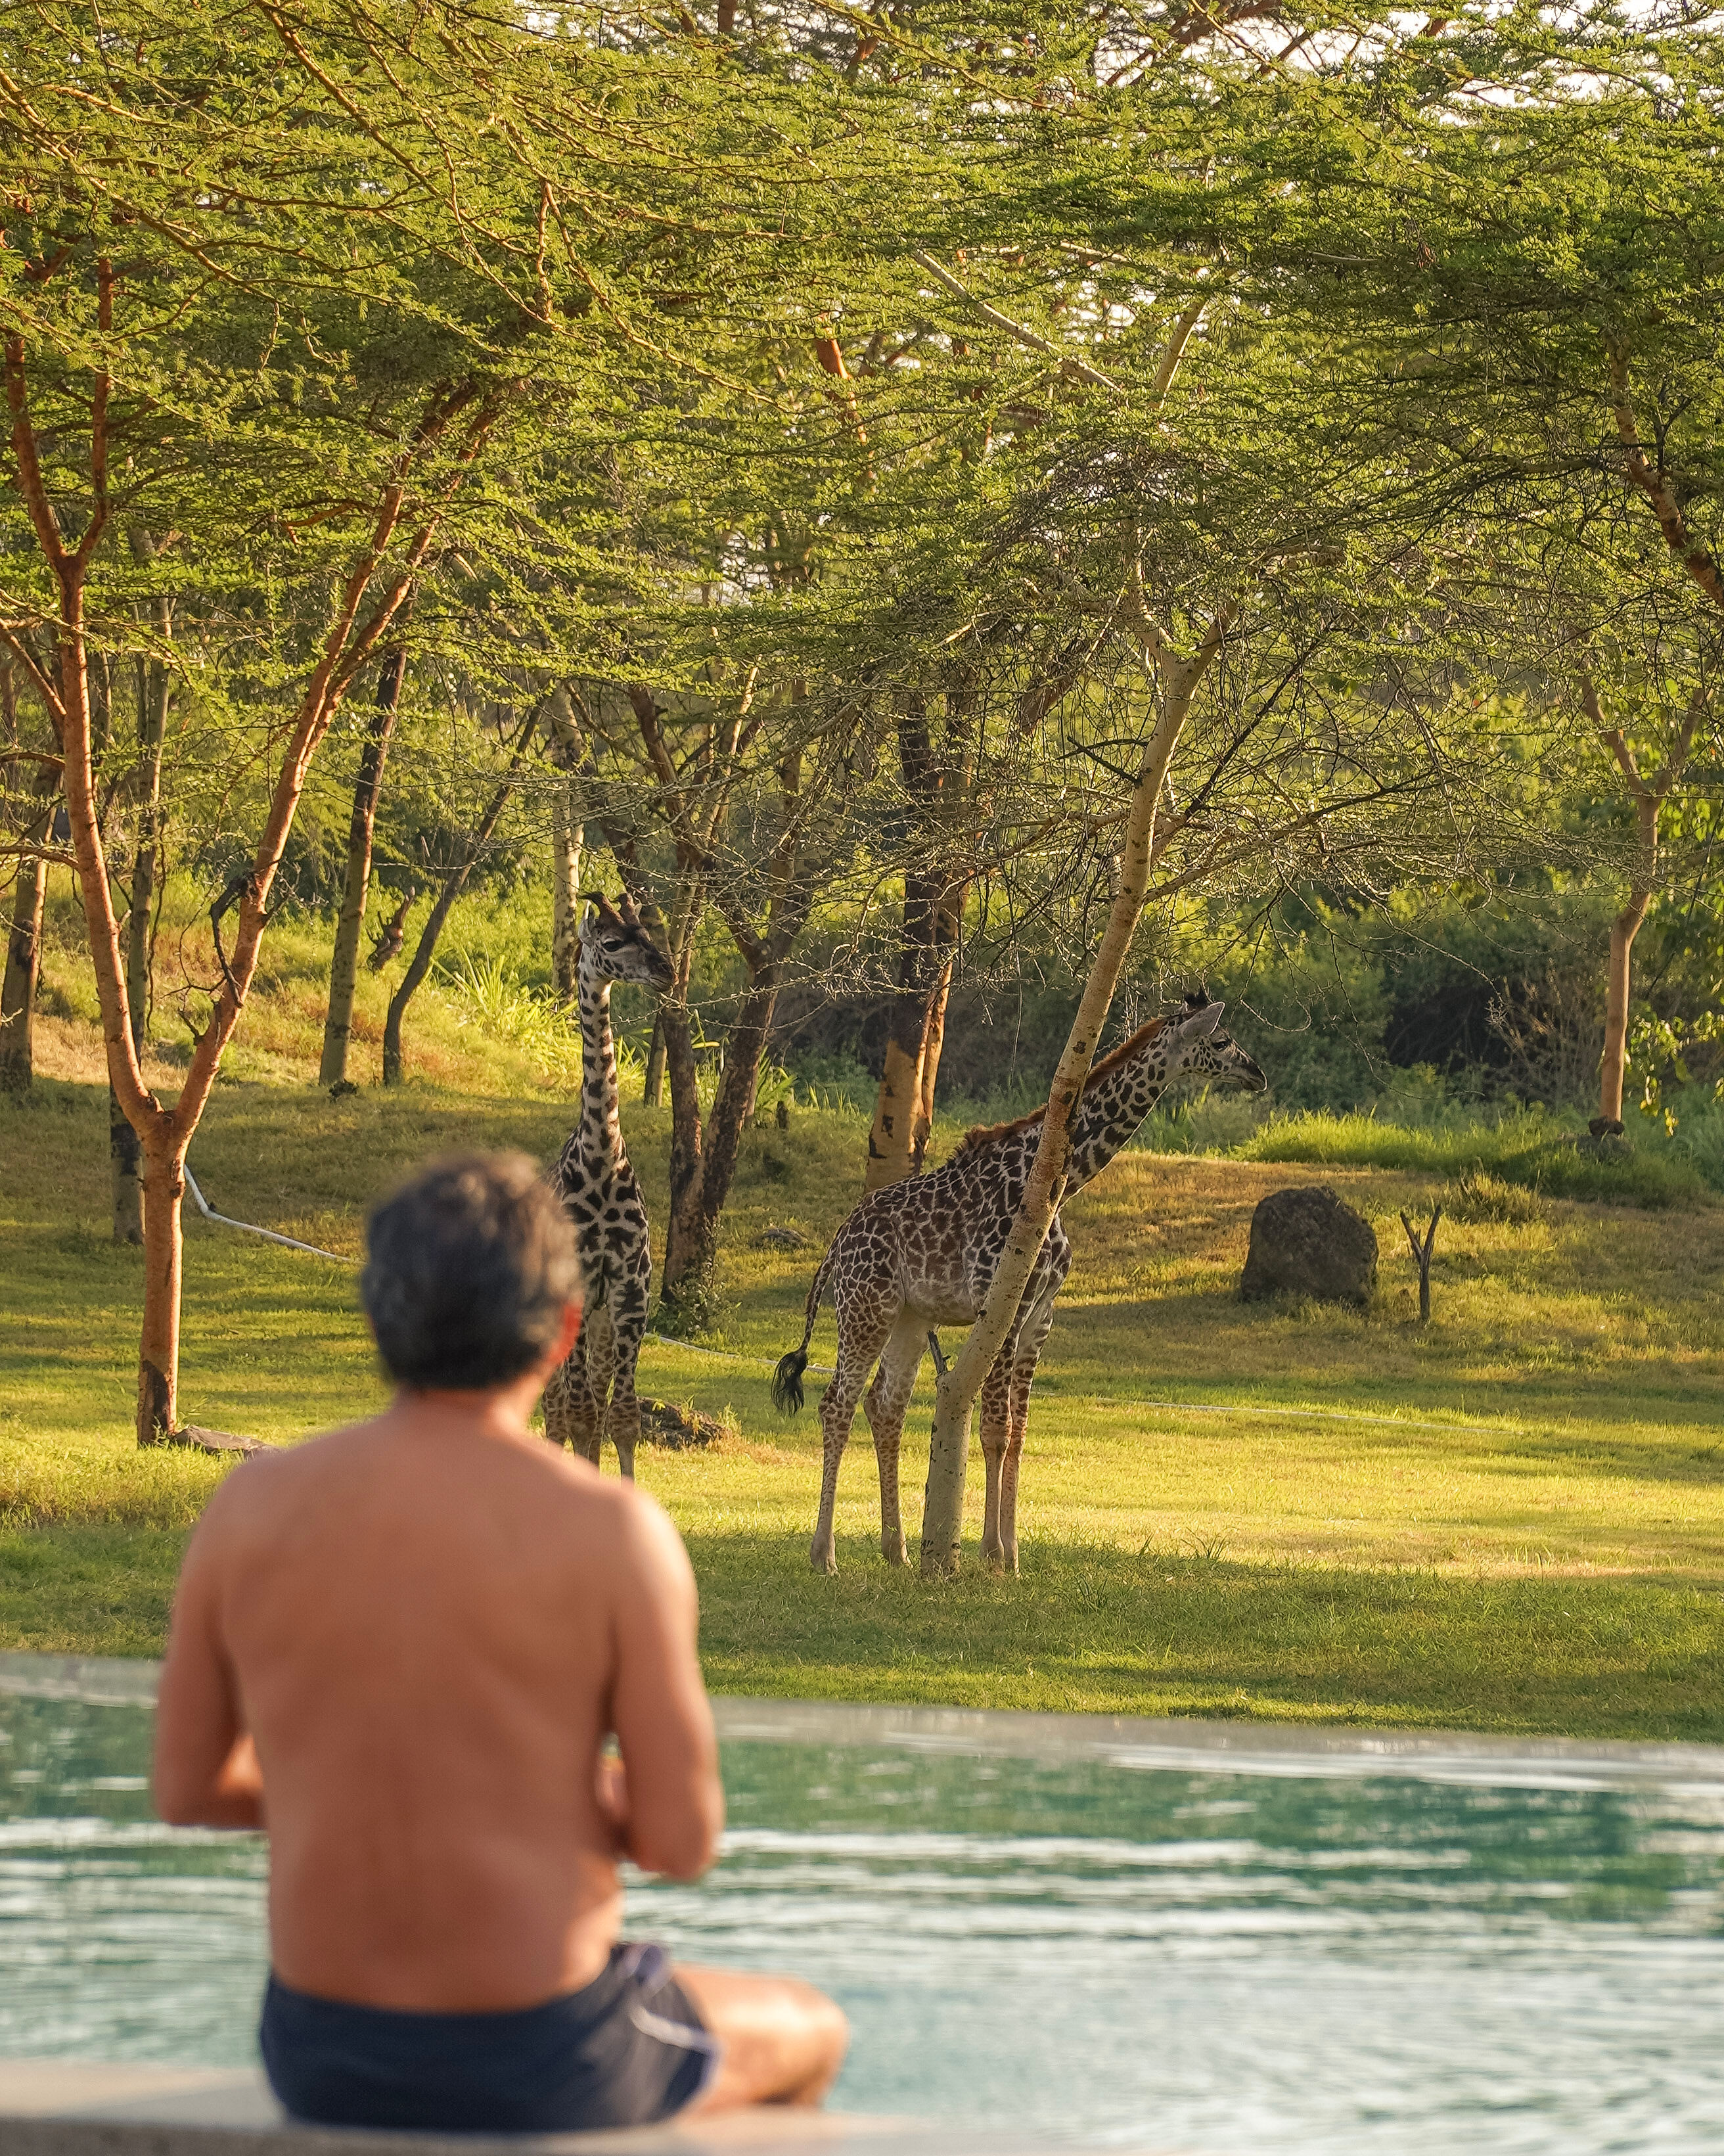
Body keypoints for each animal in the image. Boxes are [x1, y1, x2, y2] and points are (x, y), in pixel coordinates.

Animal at [774, 997, 1266, 1573]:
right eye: (1221, 1040)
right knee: (837, 1402)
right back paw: (824, 1554)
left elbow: (1020, 1430)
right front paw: (991, 1553)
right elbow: (995, 1427)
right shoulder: (1004, 1300)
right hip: (864, 1307)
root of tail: (835, 1244)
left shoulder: (1040, 1315)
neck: (1060, 1184)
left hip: (910, 1317)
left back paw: (897, 1551)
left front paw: (1011, 1554)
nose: (1257, 1073)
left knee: (884, 1405)